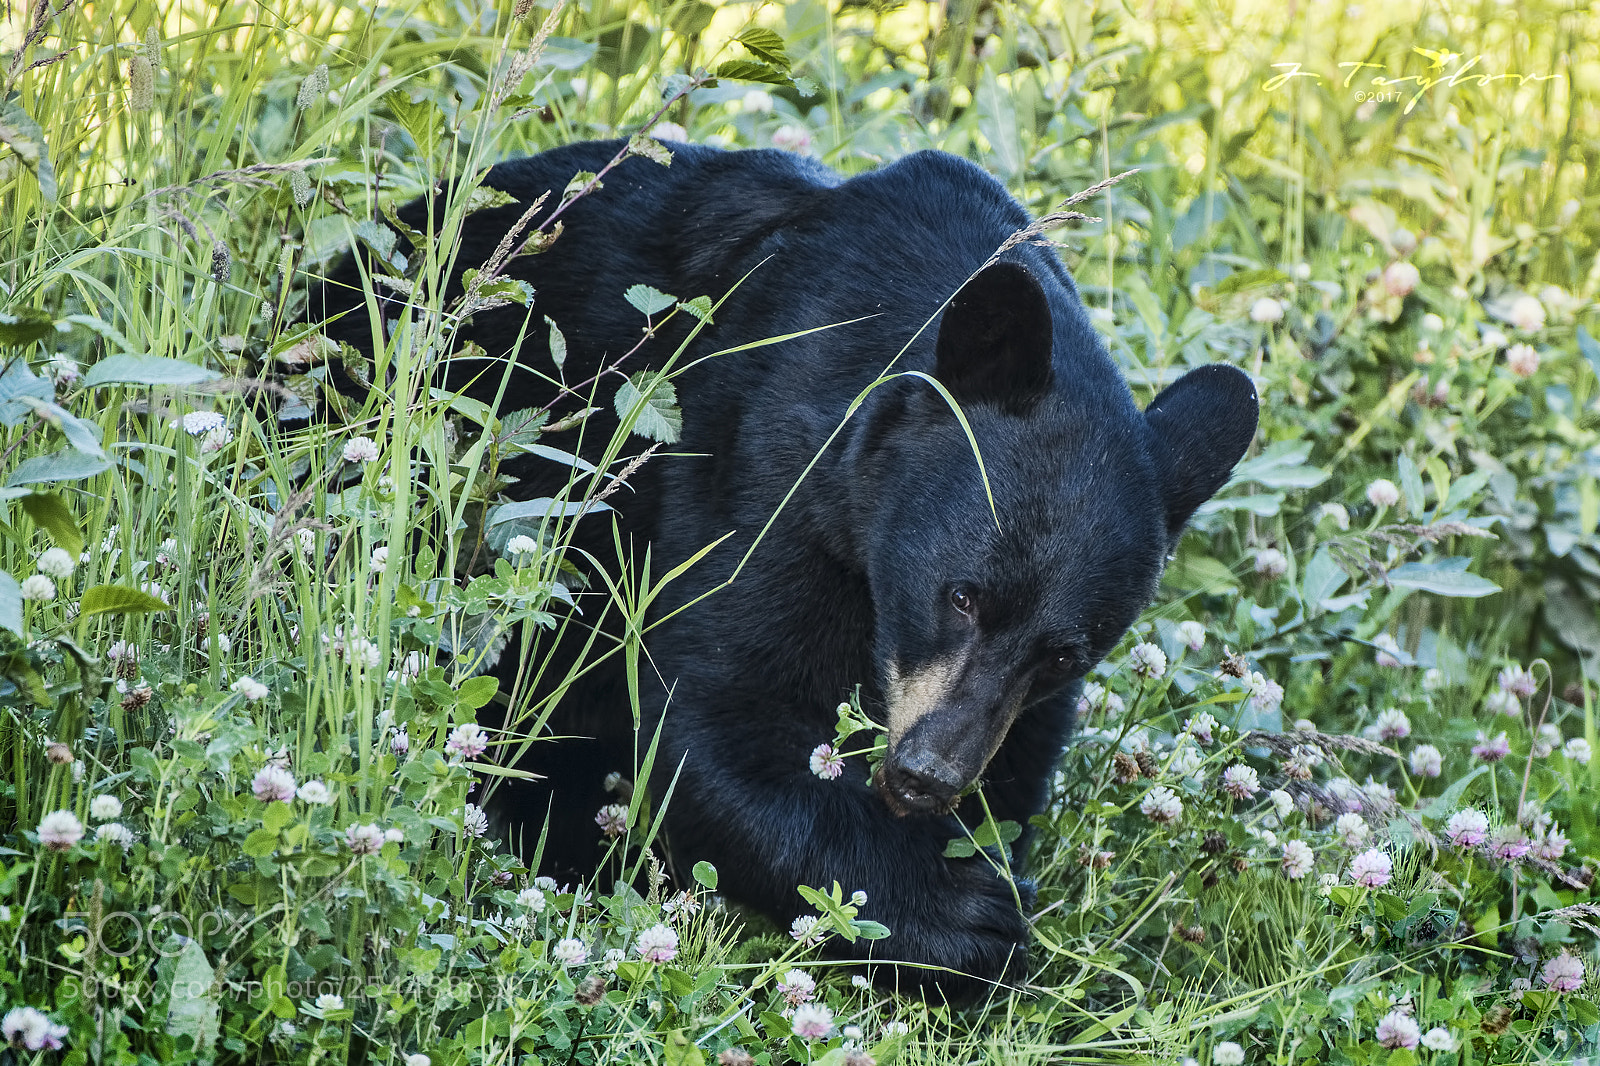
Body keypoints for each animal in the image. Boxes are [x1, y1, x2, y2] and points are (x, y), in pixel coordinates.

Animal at [310, 138, 1258, 1002]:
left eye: (1065, 653)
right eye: (960, 596)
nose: (927, 778)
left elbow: (1017, 763)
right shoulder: (765, 464)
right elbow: (711, 716)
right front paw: (956, 917)